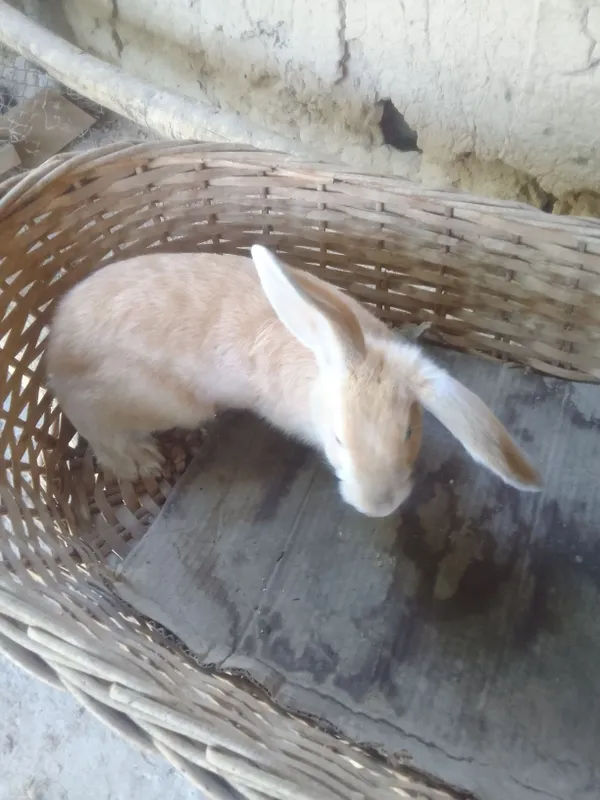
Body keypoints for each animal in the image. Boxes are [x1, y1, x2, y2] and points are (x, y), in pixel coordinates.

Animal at [46, 245, 541, 518]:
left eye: (407, 433)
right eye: (338, 440)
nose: (378, 507)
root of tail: (55, 348)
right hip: (158, 404)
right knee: (94, 423)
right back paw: (140, 461)